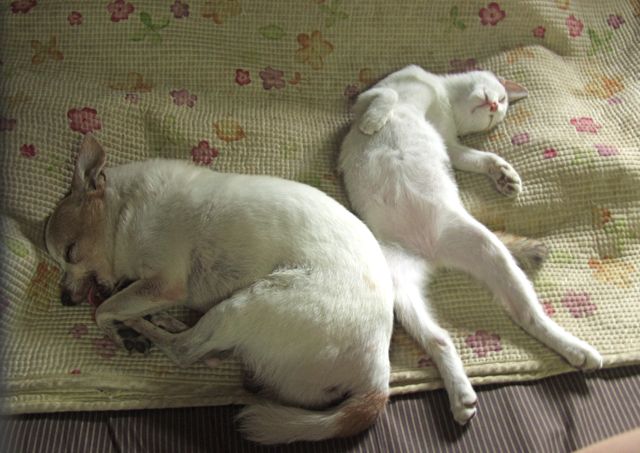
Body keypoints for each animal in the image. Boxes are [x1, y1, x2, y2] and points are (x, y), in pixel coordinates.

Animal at [45, 135, 395, 444]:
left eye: (70, 254)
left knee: (183, 350)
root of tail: (378, 375)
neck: (123, 213)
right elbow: (115, 301)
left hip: (249, 303)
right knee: (206, 350)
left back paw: (143, 326)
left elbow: (104, 310)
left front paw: (119, 330)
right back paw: (169, 322)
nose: (64, 299)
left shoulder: (164, 284)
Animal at [338, 65, 603, 424]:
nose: (493, 105)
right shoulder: (369, 96)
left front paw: (504, 173)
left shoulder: (449, 142)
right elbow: (387, 96)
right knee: (439, 338)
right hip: (398, 283)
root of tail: (432, 254)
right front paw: (373, 122)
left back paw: (577, 350)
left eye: (500, 108)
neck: (443, 98)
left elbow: (475, 157)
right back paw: (461, 394)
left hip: (487, 249)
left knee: (528, 315)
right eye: (501, 99)